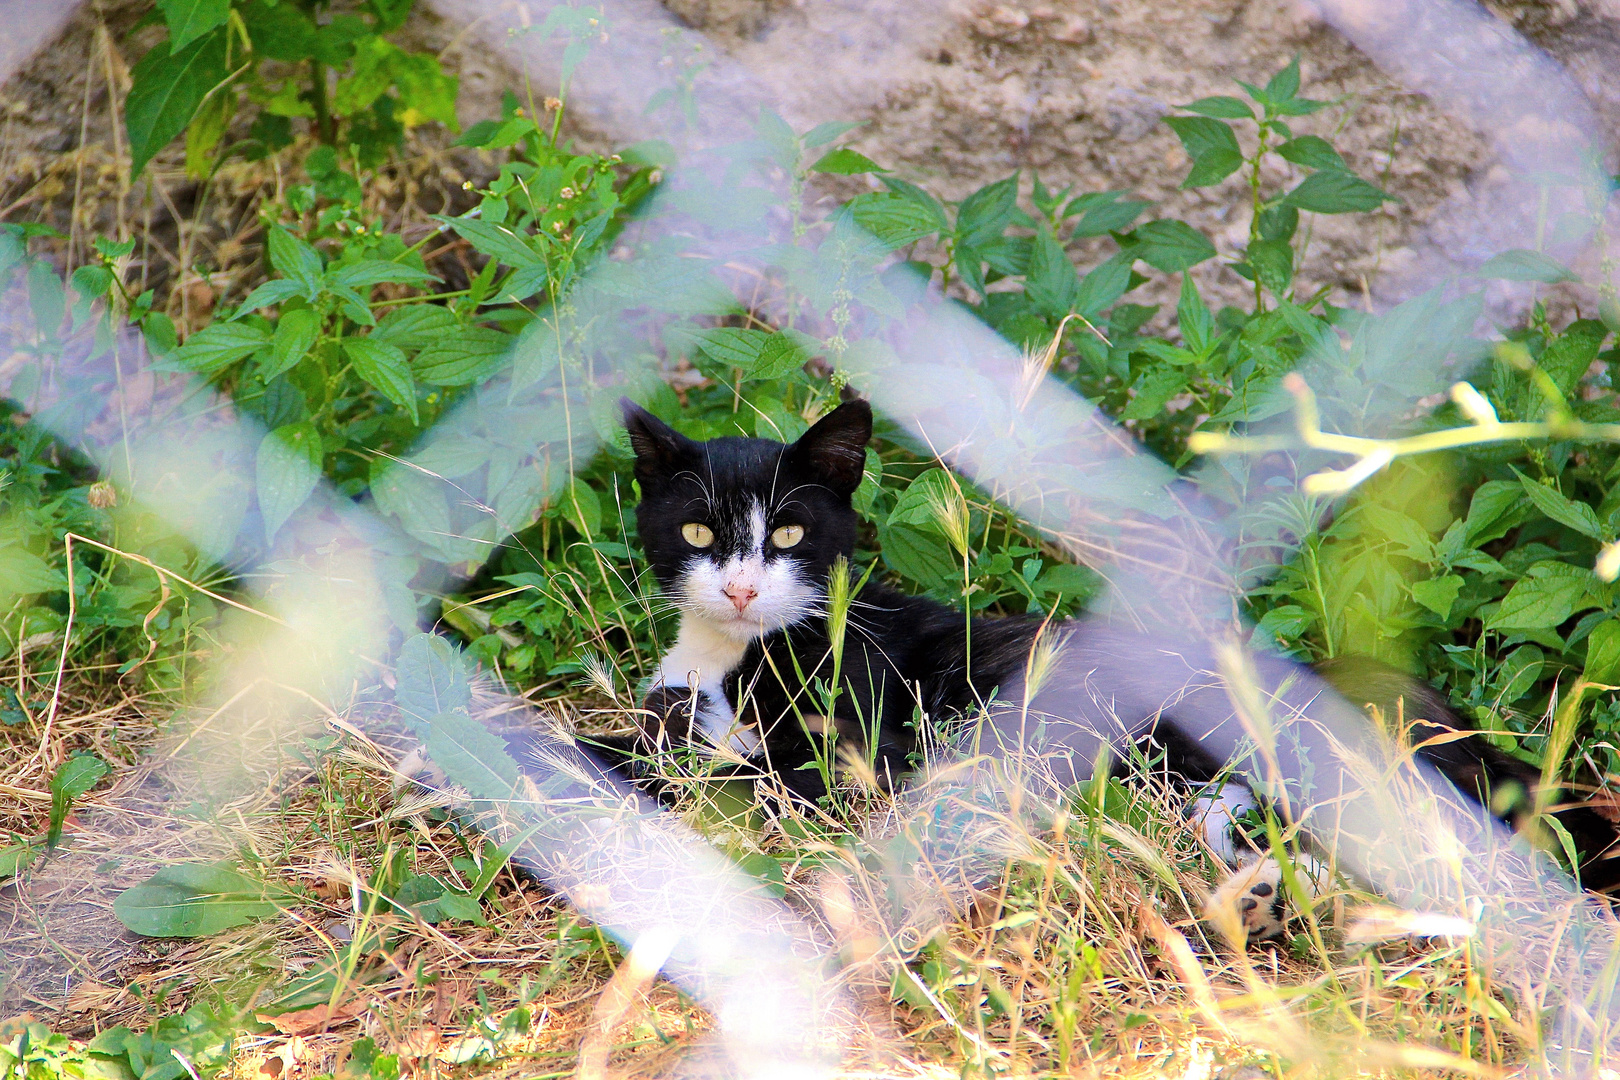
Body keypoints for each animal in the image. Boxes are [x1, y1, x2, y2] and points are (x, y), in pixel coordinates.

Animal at [609, 399, 1620, 945]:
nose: (741, 588)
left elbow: (754, 772)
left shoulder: (873, 747)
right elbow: (656, 733)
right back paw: (1263, 897)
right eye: (695, 531)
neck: (731, 655)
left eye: (788, 533)